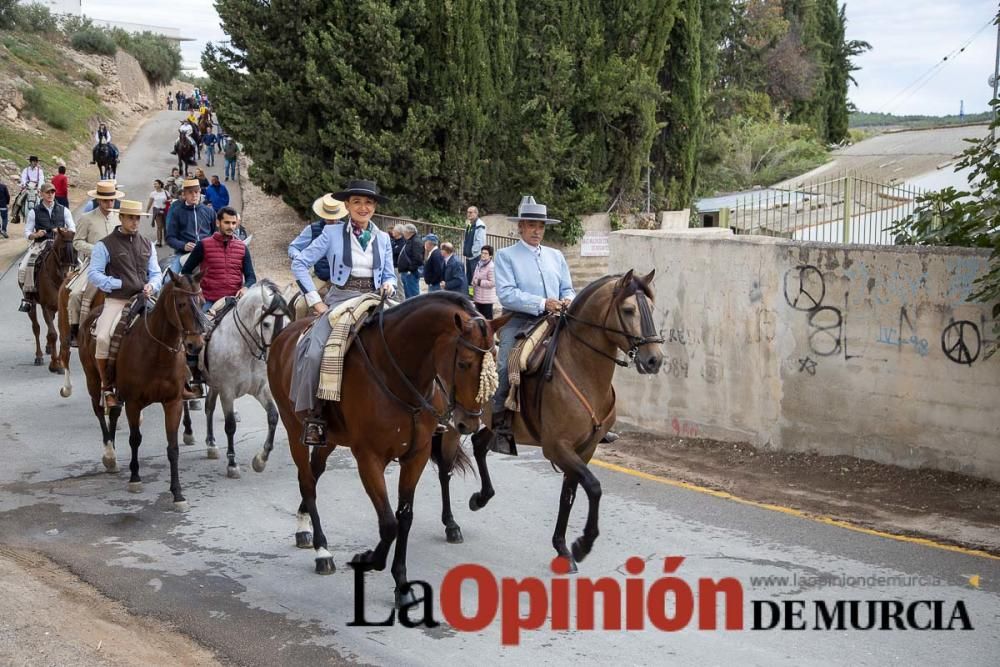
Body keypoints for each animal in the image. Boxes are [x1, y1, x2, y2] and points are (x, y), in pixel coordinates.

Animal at [22, 228, 77, 374]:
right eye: (62, 249)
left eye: (75, 250)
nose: (67, 275)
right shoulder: (46, 307)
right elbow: (53, 334)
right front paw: (55, 364)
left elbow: (62, 333)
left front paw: (61, 361)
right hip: (32, 305)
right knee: (36, 328)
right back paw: (39, 356)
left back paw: (48, 348)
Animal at [77, 268, 207, 508]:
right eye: (182, 304)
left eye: (202, 301)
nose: (195, 344)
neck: (156, 352)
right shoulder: (134, 403)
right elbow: (135, 439)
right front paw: (135, 478)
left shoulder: (173, 402)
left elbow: (172, 448)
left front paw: (177, 493)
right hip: (93, 378)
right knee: (100, 411)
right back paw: (109, 454)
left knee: (113, 412)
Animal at [201, 280, 292, 478]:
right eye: (266, 323)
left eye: (288, 323)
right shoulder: (227, 391)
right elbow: (230, 426)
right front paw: (232, 464)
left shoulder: (261, 389)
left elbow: (273, 417)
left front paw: (261, 460)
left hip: (214, 385)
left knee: (209, 407)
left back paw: (211, 444)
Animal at [268, 294, 498, 608]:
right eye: (463, 363)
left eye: (494, 361)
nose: (470, 422)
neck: (398, 376)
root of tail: (284, 335)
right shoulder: (369, 459)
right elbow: (388, 523)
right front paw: (367, 558)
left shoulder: (417, 455)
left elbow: (404, 518)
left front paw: (401, 585)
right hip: (295, 430)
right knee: (307, 483)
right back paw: (322, 550)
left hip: (329, 439)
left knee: (315, 474)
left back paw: (304, 528)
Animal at [458, 268, 664, 572]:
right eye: (628, 310)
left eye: (651, 307)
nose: (654, 360)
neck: (582, 369)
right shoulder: (557, 446)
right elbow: (594, 487)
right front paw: (583, 544)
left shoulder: (585, 449)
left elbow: (569, 494)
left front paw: (563, 549)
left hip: (491, 426)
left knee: (479, 444)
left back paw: (480, 497)